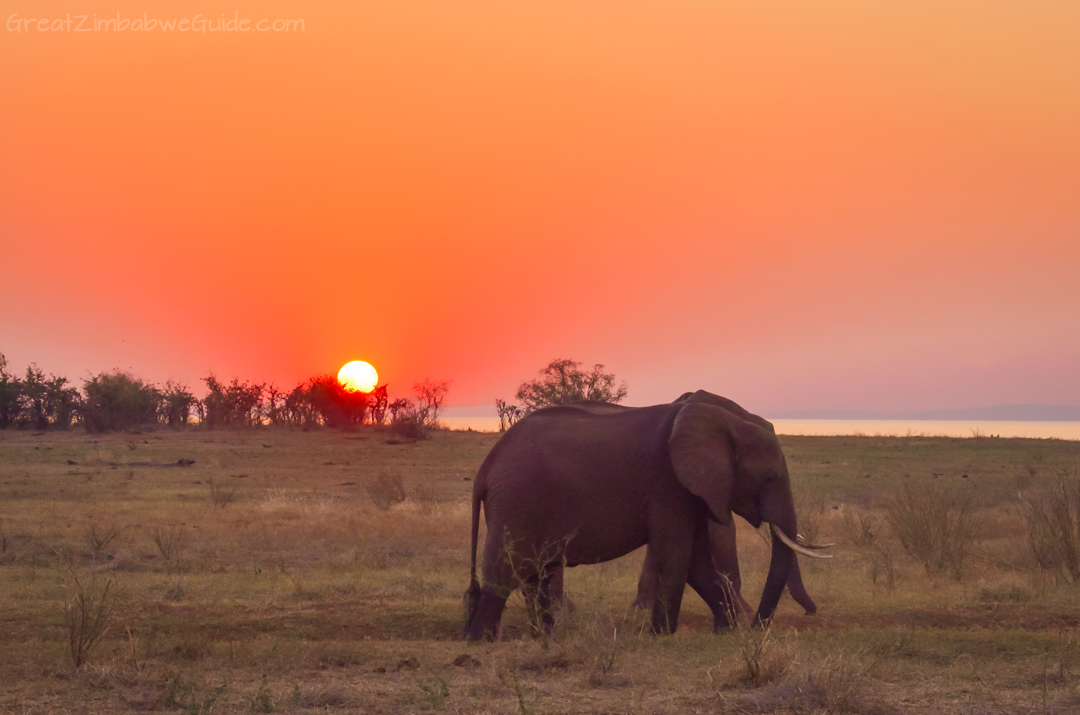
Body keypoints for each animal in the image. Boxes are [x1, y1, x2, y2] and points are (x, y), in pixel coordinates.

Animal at [462, 395, 825, 639]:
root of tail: (485, 470)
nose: (757, 628)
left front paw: (725, 632)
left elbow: (697, 564)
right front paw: (661, 635)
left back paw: (546, 636)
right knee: (506, 570)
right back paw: (481, 639)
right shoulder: (668, 483)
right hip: (517, 500)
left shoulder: (691, 490)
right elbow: (675, 555)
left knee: (534, 572)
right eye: (768, 479)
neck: (727, 422)